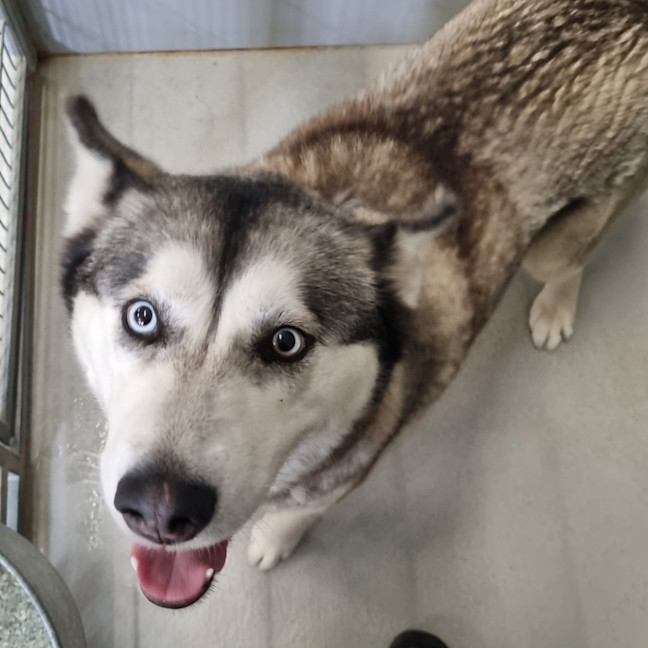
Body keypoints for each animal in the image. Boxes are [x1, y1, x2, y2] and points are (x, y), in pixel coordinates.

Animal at [62, 0, 648, 608]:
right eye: (142, 316)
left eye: (286, 342)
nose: (159, 508)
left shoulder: (346, 475)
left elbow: (299, 515)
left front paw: (275, 538)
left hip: (552, 246)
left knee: (574, 256)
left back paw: (557, 307)